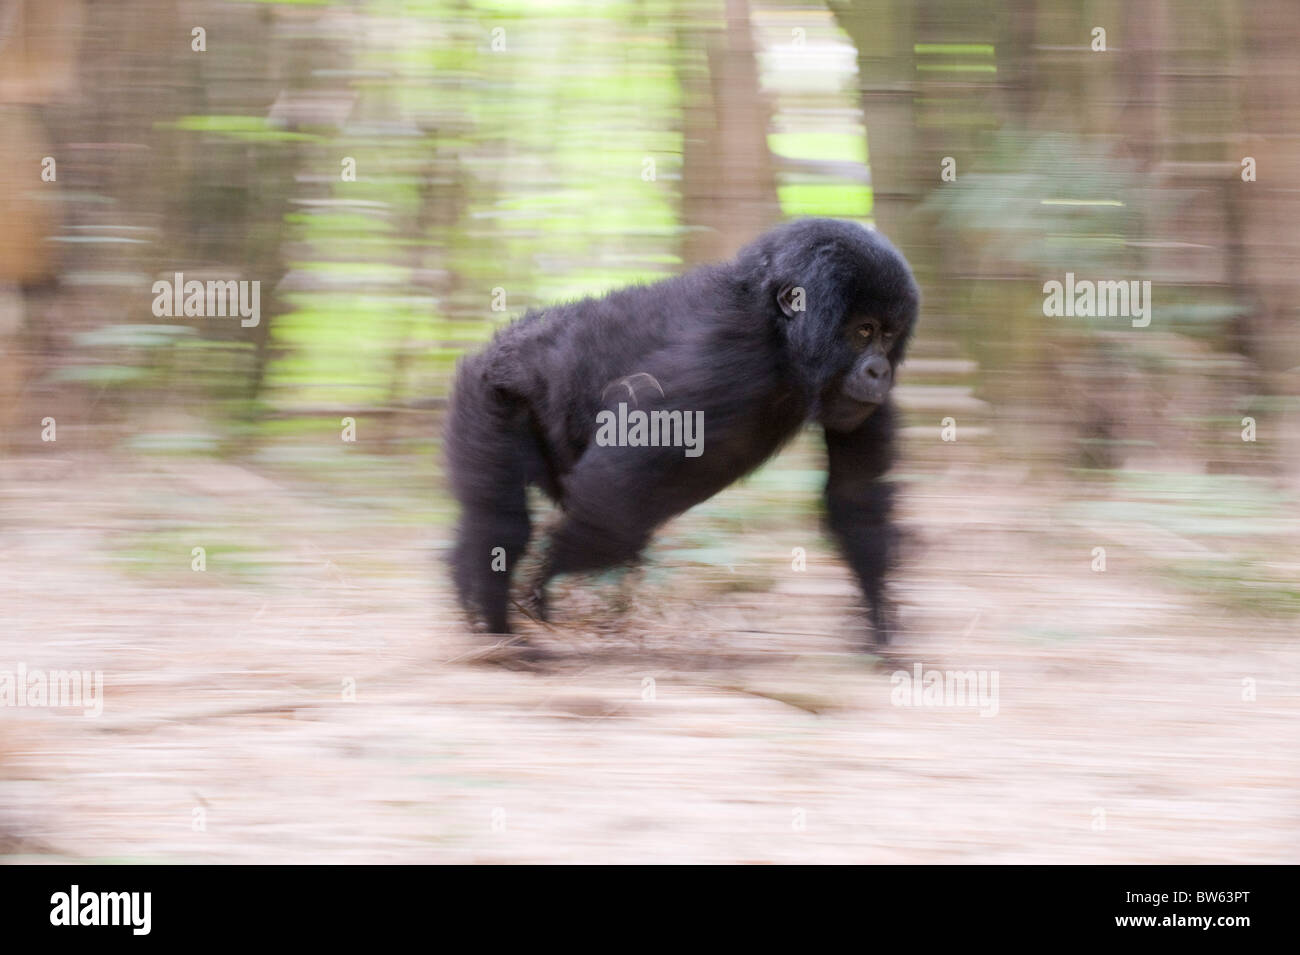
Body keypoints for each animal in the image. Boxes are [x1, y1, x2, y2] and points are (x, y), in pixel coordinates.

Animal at [444, 218, 915, 649]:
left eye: (888, 333)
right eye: (863, 330)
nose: (879, 370)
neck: (780, 331)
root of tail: (495, 349)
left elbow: (856, 493)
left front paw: (879, 614)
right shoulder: (727, 353)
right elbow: (617, 486)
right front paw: (551, 571)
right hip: (487, 396)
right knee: (501, 524)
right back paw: (497, 626)